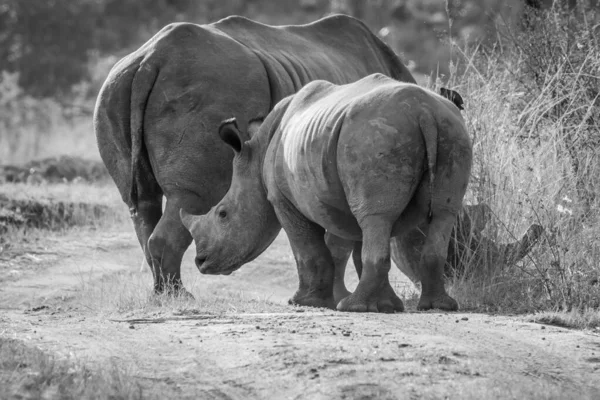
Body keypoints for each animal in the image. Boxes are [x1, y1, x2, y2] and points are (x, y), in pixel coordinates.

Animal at [180, 74, 472, 312]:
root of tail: (423, 111)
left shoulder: (283, 200)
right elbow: (346, 247)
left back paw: (354, 307)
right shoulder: (337, 198)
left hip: (373, 135)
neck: (257, 155)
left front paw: (304, 302)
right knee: (443, 213)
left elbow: (309, 249)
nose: (201, 262)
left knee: (376, 217)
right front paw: (378, 304)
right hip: (449, 131)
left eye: (223, 214)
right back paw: (437, 306)